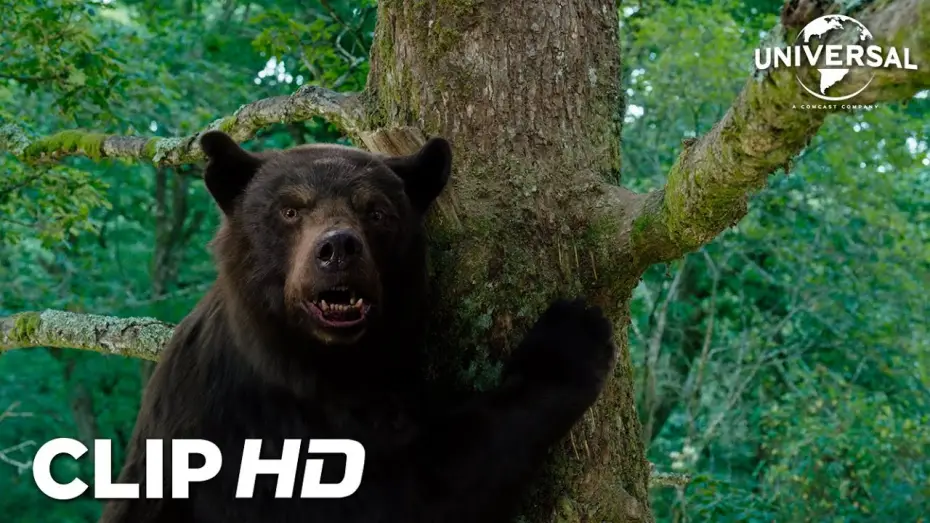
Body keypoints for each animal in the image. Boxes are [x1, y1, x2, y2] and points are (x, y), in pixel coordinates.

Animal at [98, 130, 616, 523]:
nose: (338, 249)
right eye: (290, 209)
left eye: (377, 211)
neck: (323, 366)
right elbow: (404, 492)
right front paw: (569, 339)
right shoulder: (251, 433)